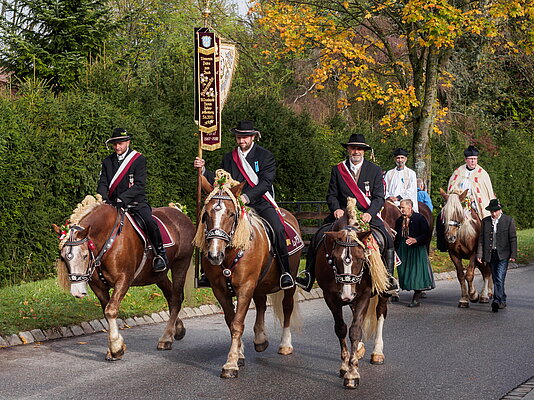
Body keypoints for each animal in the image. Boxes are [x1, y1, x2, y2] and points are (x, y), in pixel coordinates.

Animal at [52, 195, 197, 360]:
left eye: (84, 255)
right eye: (63, 258)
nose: (77, 292)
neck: (107, 241)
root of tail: (180, 213)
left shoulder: (123, 279)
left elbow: (110, 310)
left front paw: (116, 347)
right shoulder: (98, 286)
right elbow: (106, 311)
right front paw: (115, 347)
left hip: (181, 264)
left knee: (176, 298)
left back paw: (166, 338)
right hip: (158, 275)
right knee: (171, 296)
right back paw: (177, 329)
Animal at [196, 174, 306, 378]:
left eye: (231, 214)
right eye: (206, 215)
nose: (214, 255)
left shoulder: (245, 287)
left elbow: (237, 324)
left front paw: (230, 364)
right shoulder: (220, 291)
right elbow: (231, 321)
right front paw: (239, 354)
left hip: (290, 281)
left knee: (287, 307)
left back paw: (285, 344)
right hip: (259, 284)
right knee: (261, 304)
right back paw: (261, 339)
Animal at [316, 200, 392, 388]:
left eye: (360, 258)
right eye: (335, 258)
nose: (347, 294)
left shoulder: (363, 295)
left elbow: (355, 330)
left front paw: (352, 374)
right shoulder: (330, 297)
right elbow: (341, 329)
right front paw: (345, 365)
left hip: (381, 294)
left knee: (380, 313)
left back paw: (377, 353)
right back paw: (358, 350)